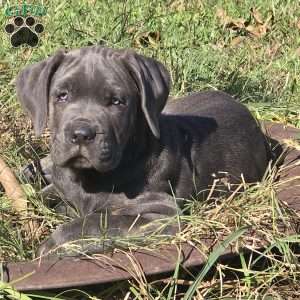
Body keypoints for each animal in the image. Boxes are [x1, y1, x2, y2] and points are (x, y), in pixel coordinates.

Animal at [15, 45, 270, 254]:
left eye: (117, 101)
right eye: (62, 95)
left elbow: (98, 222)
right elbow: (43, 195)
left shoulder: (161, 214)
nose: (81, 134)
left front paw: (52, 245)